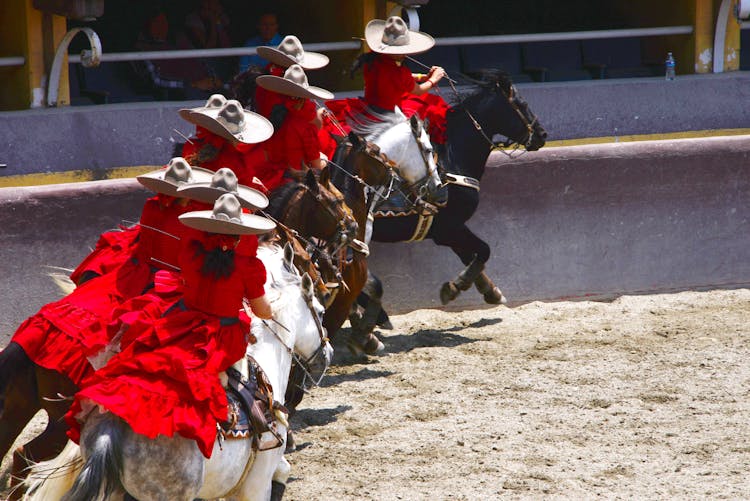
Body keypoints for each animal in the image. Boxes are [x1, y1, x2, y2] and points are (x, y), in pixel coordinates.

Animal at [356, 70, 548, 334]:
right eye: (521, 104)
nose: (542, 134)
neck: (451, 161)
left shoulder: (448, 232)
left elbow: (472, 257)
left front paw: (491, 292)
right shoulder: (450, 228)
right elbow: (483, 251)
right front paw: (456, 286)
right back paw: (379, 316)